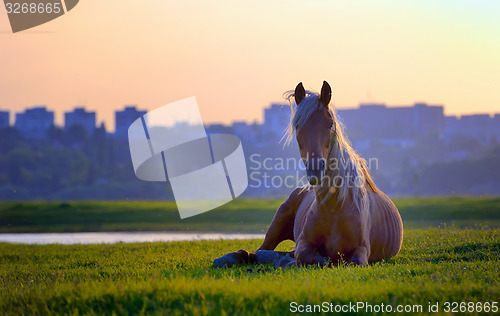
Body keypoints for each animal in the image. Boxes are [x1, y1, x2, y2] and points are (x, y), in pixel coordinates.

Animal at [213, 81, 404, 266]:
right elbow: (304, 256)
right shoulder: (304, 242)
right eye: (298, 126)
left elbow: (353, 262)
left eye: (330, 124)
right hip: (278, 222)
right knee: (256, 252)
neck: (335, 207)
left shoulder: (362, 249)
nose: (315, 169)